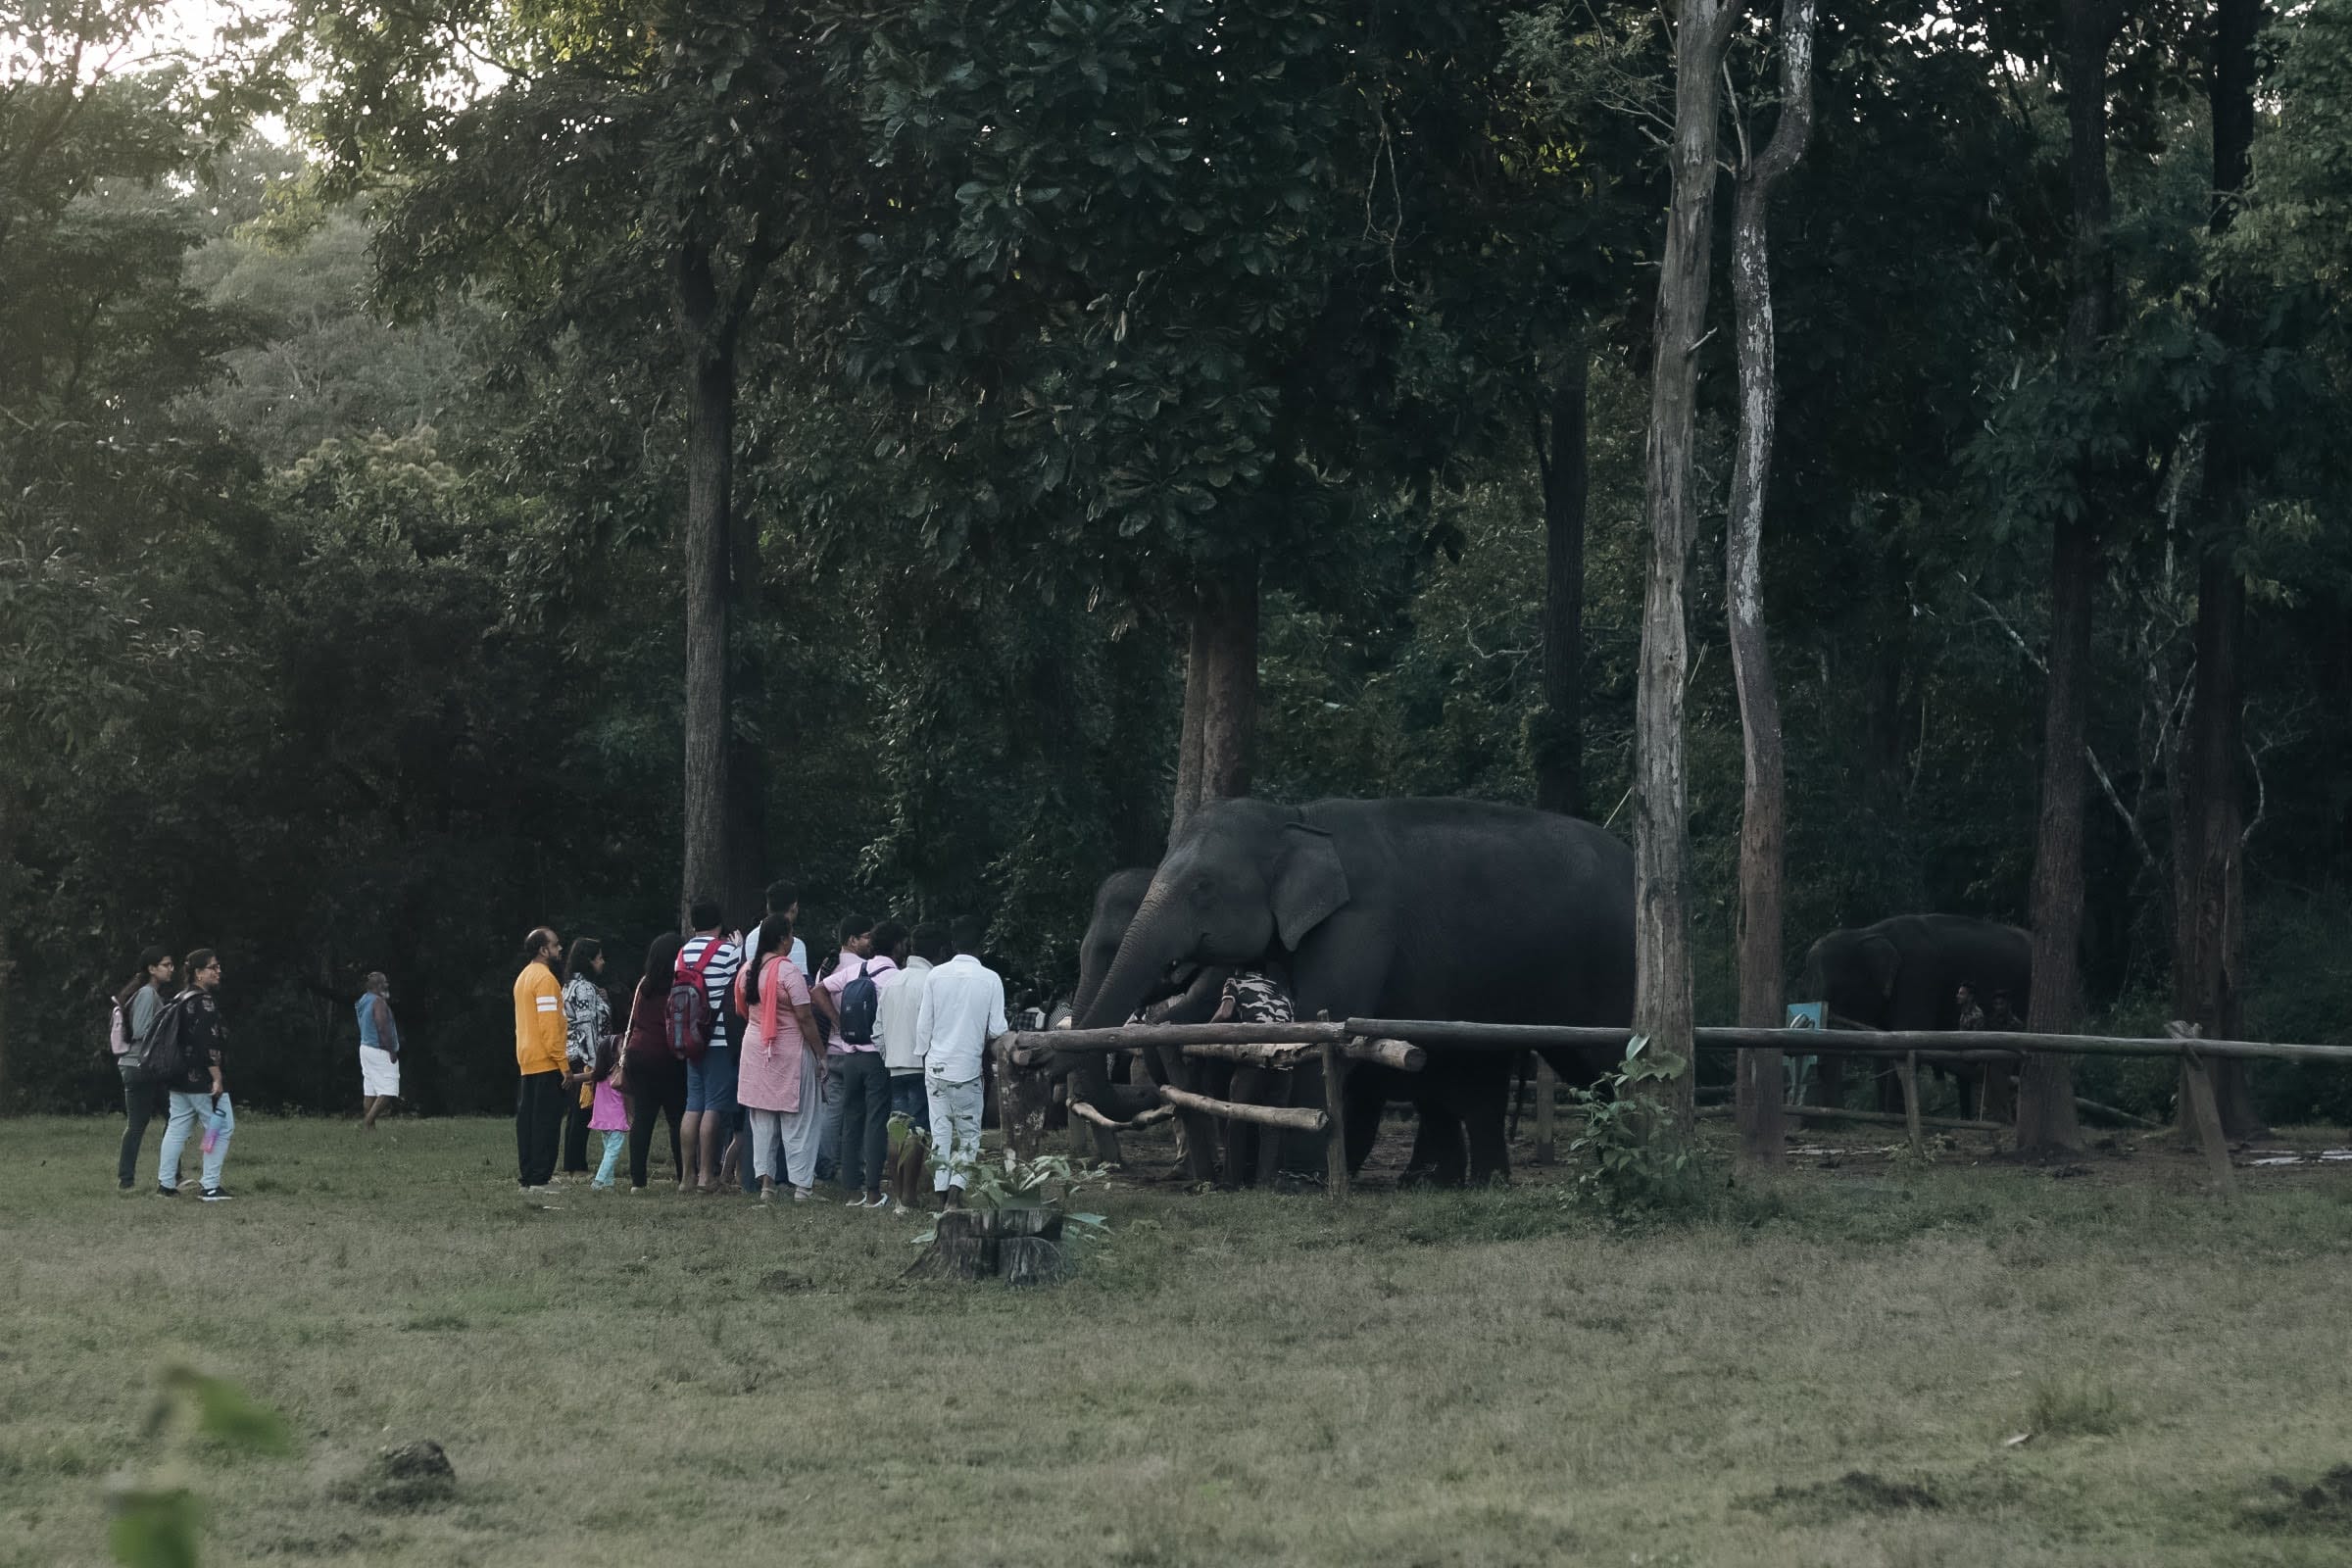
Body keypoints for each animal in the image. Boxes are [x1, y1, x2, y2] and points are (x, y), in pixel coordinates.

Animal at [1068, 795, 1636, 1185]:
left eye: (1202, 887)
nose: (1146, 1094)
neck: (1296, 818)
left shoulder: (1360, 922)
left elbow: (1325, 1022)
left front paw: (1296, 1180)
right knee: (1484, 1075)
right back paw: (1464, 1183)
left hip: (1616, 968)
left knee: (1608, 1065)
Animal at [1798, 914, 2032, 1115]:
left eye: (1836, 990)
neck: (1866, 932)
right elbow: (1882, 1046)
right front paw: (1884, 1115)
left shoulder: (1918, 975)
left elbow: (1907, 1036)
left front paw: (1894, 1118)